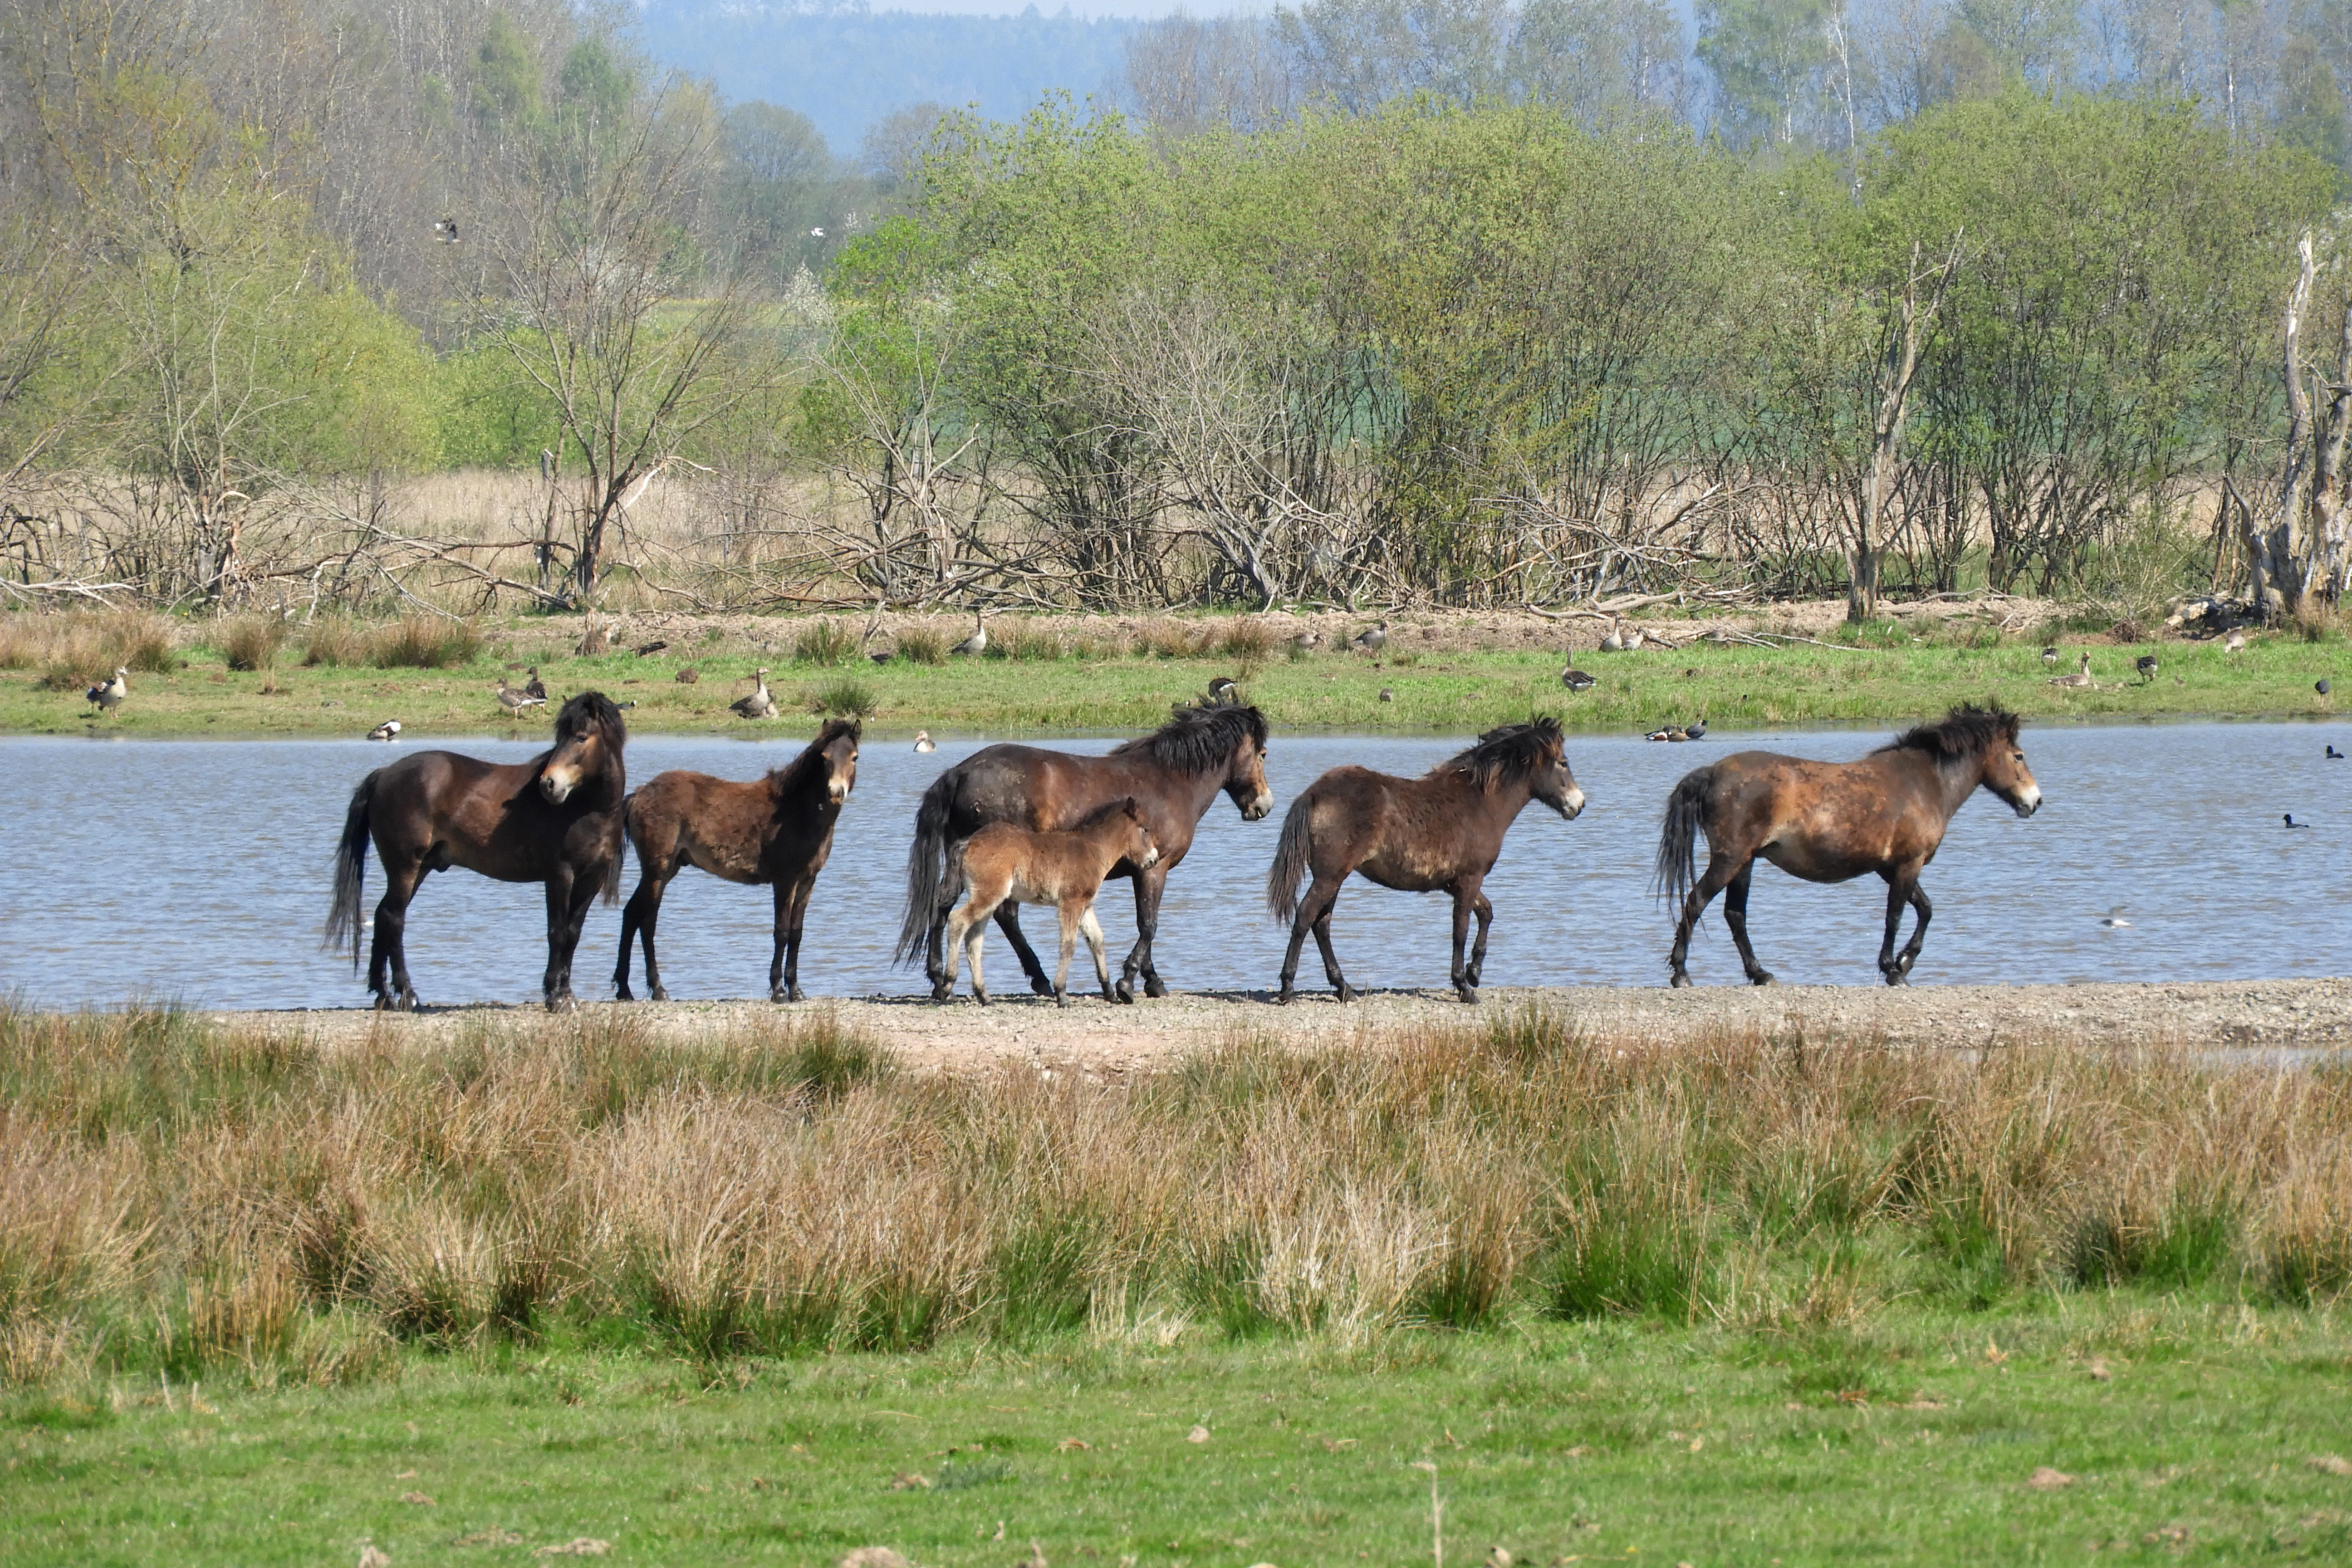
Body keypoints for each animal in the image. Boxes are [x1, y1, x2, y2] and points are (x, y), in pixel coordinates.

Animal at [326, 691, 628, 1011]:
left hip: (418, 869)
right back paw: (408, 994)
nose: (548, 784)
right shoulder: (560, 874)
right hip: (405, 867)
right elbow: (557, 932)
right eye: (560, 738)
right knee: (394, 919)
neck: (588, 810)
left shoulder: (592, 879)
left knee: (383, 916)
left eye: (581, 737)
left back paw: (383, 995)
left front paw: (567, 994)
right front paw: (554, 996)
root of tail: (385, 774)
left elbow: (573, 933)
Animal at [614, 718, 861, 1003]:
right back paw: (658, 989)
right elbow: (781, 931)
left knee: (631, 913)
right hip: (657, 871)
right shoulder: (785, 881)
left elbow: (797, 933)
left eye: (854, 757)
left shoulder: (808, 881)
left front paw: (797, 991)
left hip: (665, 871)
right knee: (647, 921)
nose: (836, 792)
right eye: (824, 758)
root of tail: (639, 794)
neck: (797, 811)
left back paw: (625, 989)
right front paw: (779, 990)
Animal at [939, 798, 1162, 1006]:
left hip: (988, 899)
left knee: (974, 940)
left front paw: (1110, 992)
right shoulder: (1071, 903)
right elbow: (1068, 944)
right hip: (989, 895)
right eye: (1146, 829)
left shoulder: (1086, 905)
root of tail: (969, 843)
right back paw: (947, 985)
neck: (1093, 849)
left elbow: (1097, 940)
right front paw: (1061, 994)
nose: (1154, 860)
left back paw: (984, 995)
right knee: (957, 921)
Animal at [1265, 718, 1585, 1004]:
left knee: (1322, 924)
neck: (1481, 802)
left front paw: (1475, 972)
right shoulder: (1470, 879)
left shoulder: (1456, 882)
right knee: (1305, 917)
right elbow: (1460, 930)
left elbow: (1486, 913)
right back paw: (1288, 989)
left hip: (1333, 877)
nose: (1579, 805)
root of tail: (1314, 793)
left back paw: (1344, 988)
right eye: (1563, 762)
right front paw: (1464, 986)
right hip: (1330, 877)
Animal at [1654, 702, 2041, 988]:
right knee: (1696, 902)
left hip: (1745, 863)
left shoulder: (1890, 867)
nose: (2035, 802)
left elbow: (1925, 910)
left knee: (1735, 915)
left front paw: (1905, 961)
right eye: (2019, 756)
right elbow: (1896, 916)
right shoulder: (1907, 864)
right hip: (1731, 859)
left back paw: (1760, 974)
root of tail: (1713, 773)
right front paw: (1893, 969)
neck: (1923, 782)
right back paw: (1682, 974)